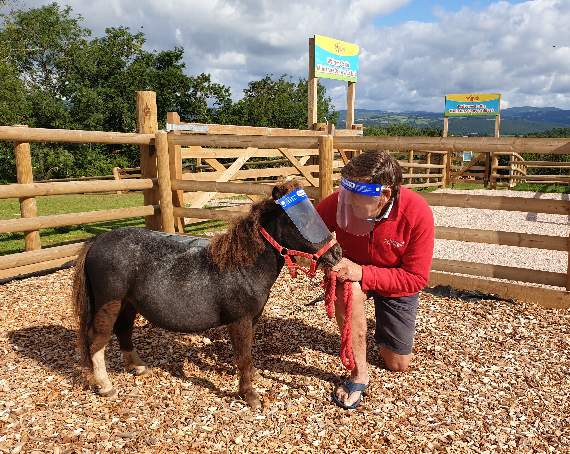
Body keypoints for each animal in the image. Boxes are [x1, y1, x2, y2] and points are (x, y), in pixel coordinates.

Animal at [74, 180, 342, 408]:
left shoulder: (252, 319)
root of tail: (96, 241)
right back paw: (105, 385)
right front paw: (249, 395)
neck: (241, 266)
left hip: (127, 304)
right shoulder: (239, 320)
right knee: (97, 340)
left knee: (123, 330)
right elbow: (243, 356)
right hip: (109, 303)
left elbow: (246, 354)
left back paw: (137, 367)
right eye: (298, 220)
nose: (336, 253)